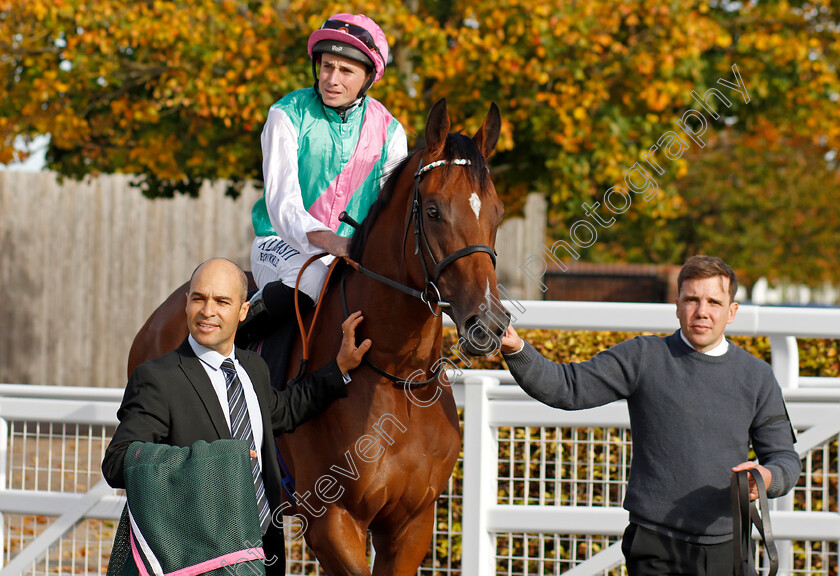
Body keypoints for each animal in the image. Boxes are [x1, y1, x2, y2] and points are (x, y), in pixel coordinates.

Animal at [124, 98, 506, 572]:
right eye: (433, 210)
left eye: (497, 212)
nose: (488, 322)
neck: (396, 376)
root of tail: (157, 318)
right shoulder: (332, 522)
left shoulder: (411, 524)